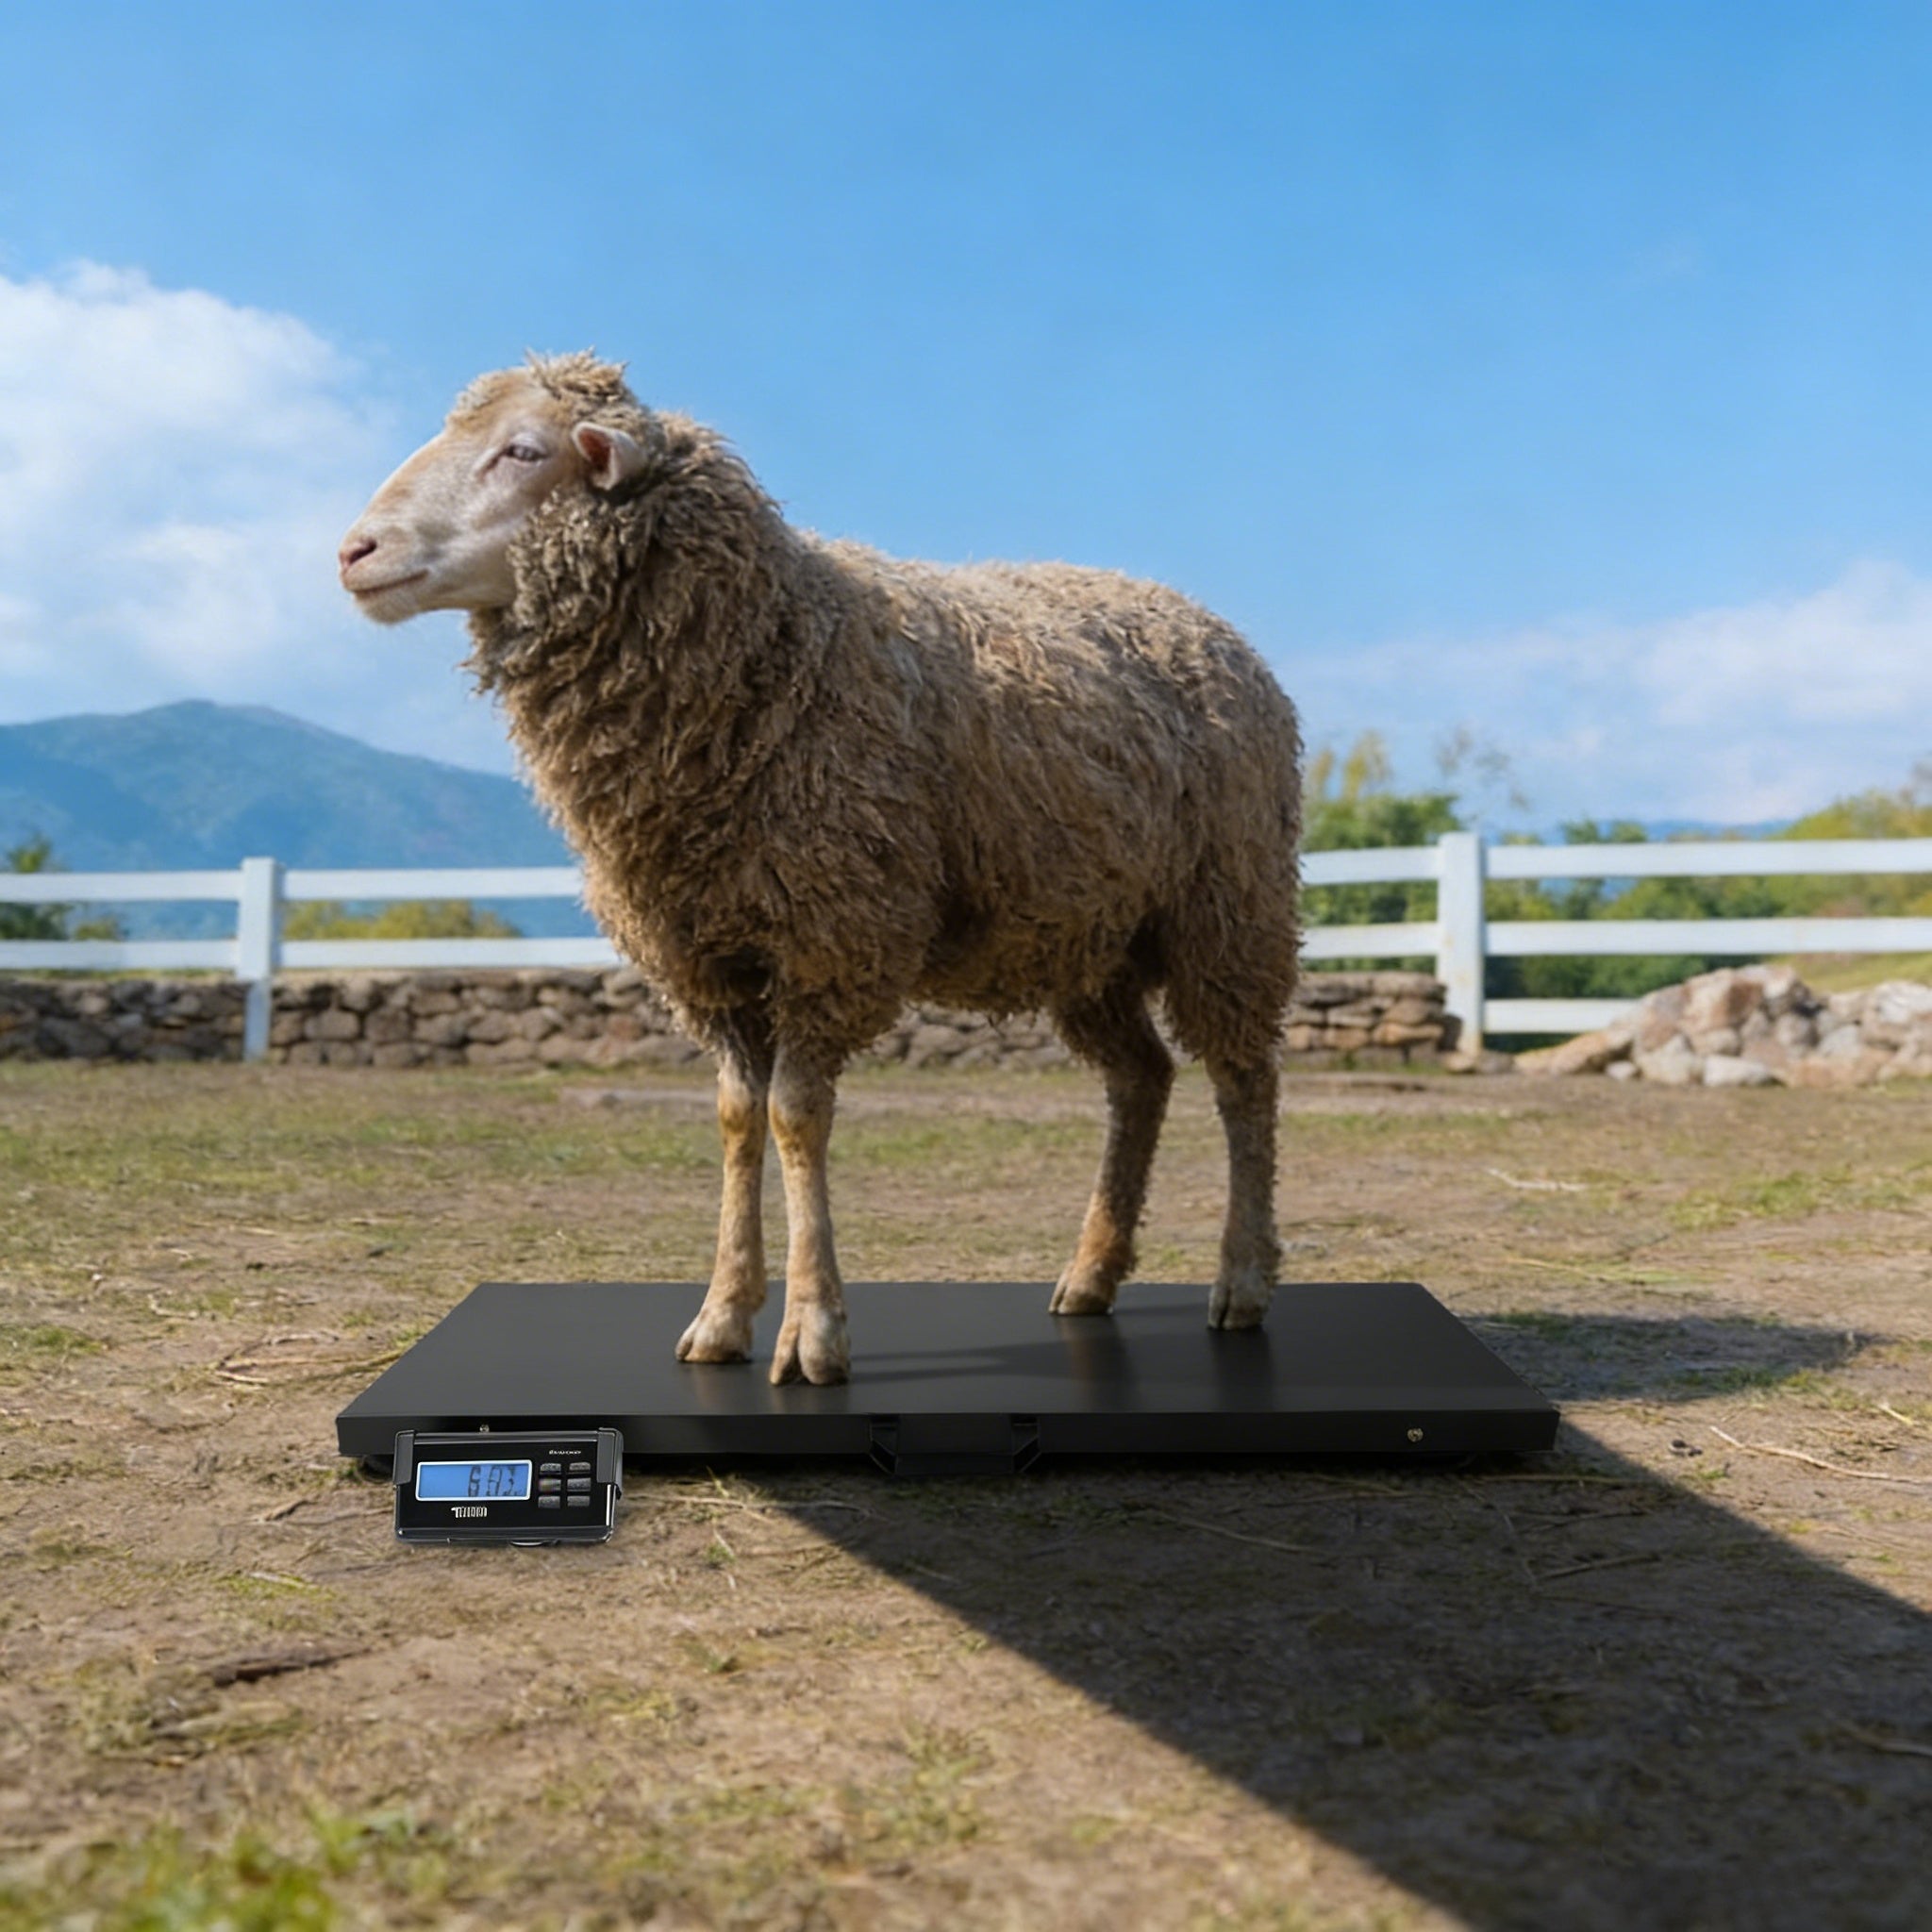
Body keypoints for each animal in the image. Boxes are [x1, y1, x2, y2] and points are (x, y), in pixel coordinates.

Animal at [338, 354, 1302, 1386]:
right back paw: (1090, 1272)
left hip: (1226, 906)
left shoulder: (829, 933)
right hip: (1088, 938)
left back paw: (1243, 1278)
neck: (773, 644)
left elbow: (796, 1116)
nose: (354, 551)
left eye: (523, 450)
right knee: (1140, 1077)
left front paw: (812, 1329)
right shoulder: (708, 959)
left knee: (1244, 1081)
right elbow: (735, 1115)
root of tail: (1199, 616)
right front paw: (722, 1312)